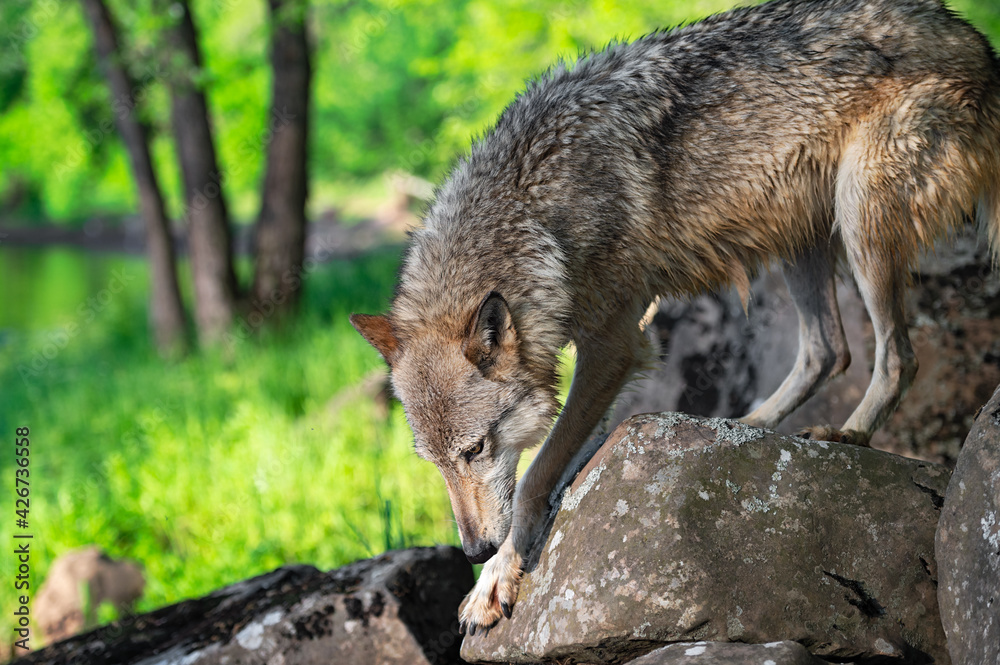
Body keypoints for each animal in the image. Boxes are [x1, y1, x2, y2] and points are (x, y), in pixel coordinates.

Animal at [351, 0, 1000, 633]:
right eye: (436, 462)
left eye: (476, 449)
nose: (474, 550)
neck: (533, 210)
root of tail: (978, 44)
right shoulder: (610, 356)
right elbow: (566, 458)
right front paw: (496, 568)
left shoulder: (615, 345)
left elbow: (536, 476)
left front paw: (496, 578)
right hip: (801, 238)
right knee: (828, 351)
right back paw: (748, 428)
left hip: (860, 218)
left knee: (897, 357)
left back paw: (851, 432)